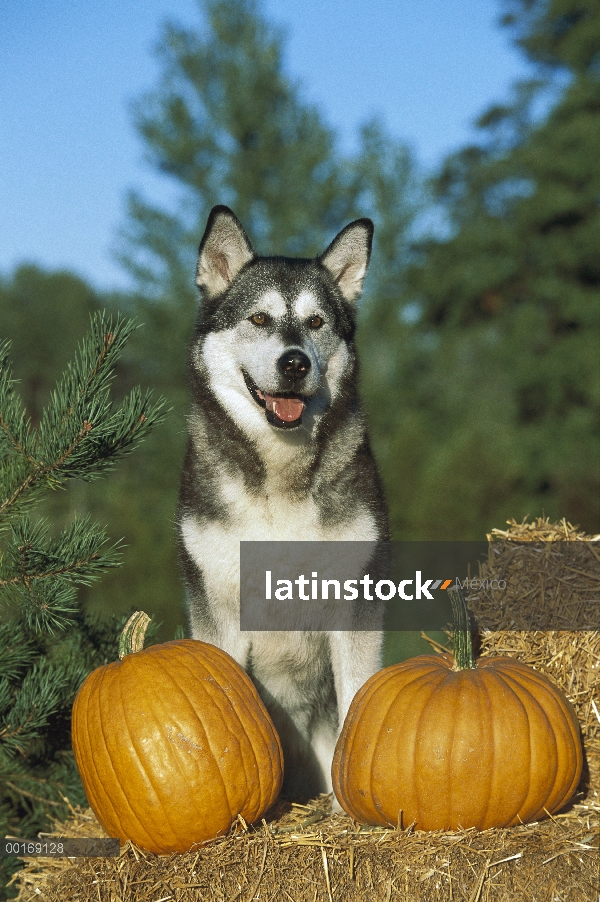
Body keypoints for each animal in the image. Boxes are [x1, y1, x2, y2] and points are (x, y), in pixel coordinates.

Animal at [177, 207, 390, 804]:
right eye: (259, 318)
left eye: (316, 323)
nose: (294, 363)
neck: (279, 479)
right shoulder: (217, 607)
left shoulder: (355, 601)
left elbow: (358, 698)